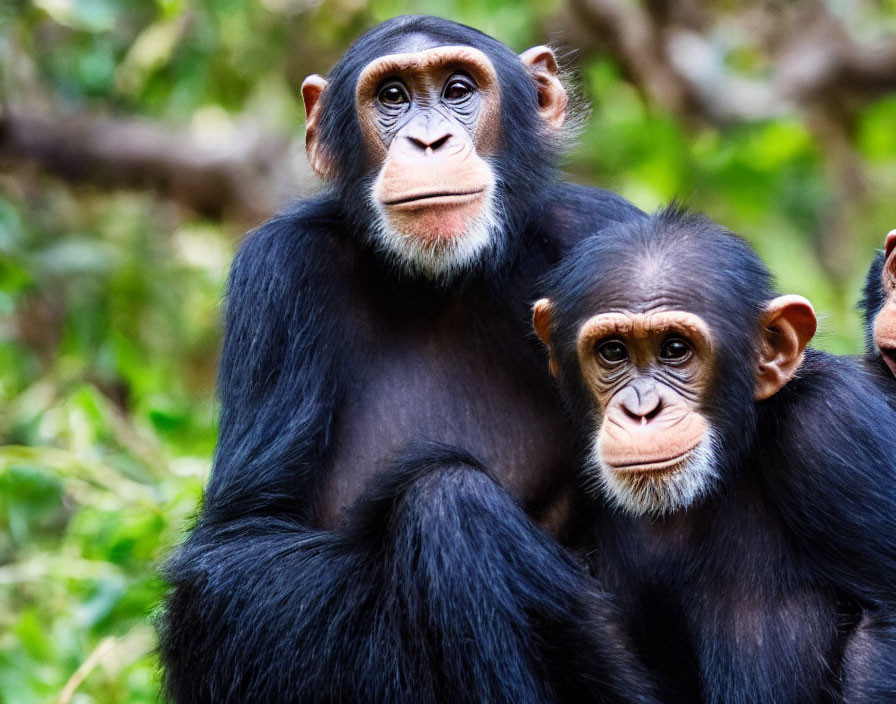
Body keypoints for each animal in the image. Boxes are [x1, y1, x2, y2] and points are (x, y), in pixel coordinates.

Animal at [159, 12, 656, 704]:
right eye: (391, 97)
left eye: (457, 90)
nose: (428, 139)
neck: (443, 282)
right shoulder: (278, 274)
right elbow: (236, 555)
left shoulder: (607, 234)